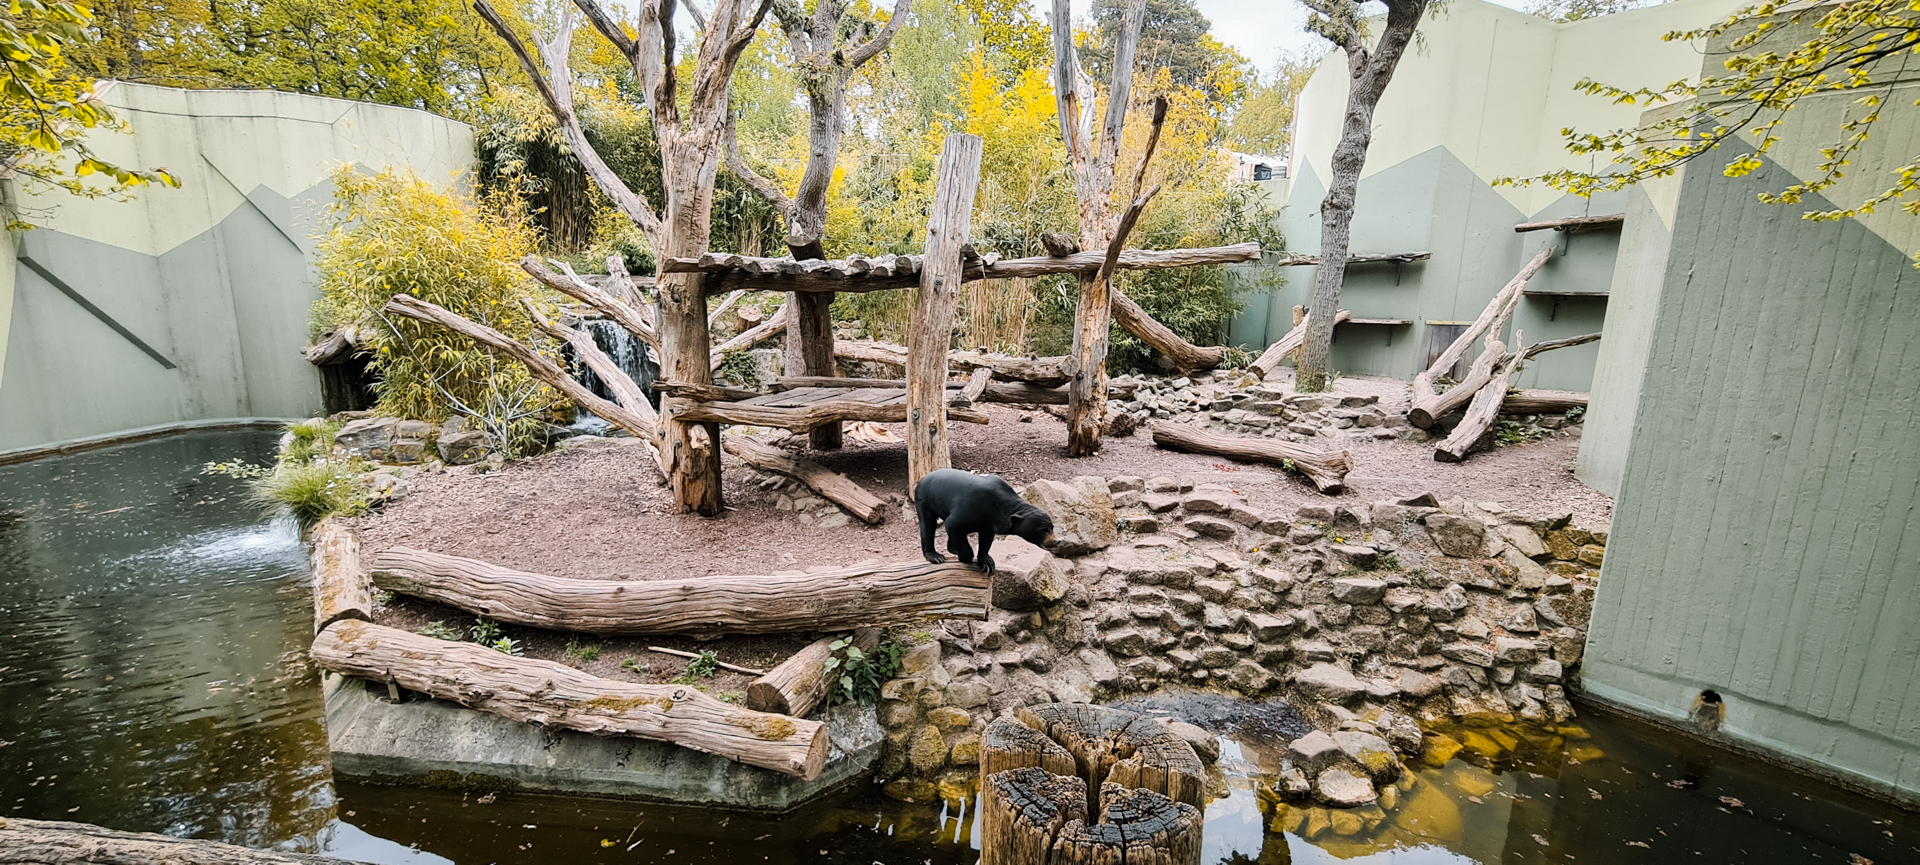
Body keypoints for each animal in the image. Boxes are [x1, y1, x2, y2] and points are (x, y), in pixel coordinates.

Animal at [914, 468, 1056, 575]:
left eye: (1052, 527)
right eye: (1042, 531)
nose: (1056, 541)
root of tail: (921, 479)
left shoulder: (989, 523)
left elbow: (986, 540)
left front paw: (987, 563)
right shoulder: (970, 508)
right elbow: (953, 524)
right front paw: (966, 557)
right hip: (925, 500)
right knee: (928, 525)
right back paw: (936, 557)